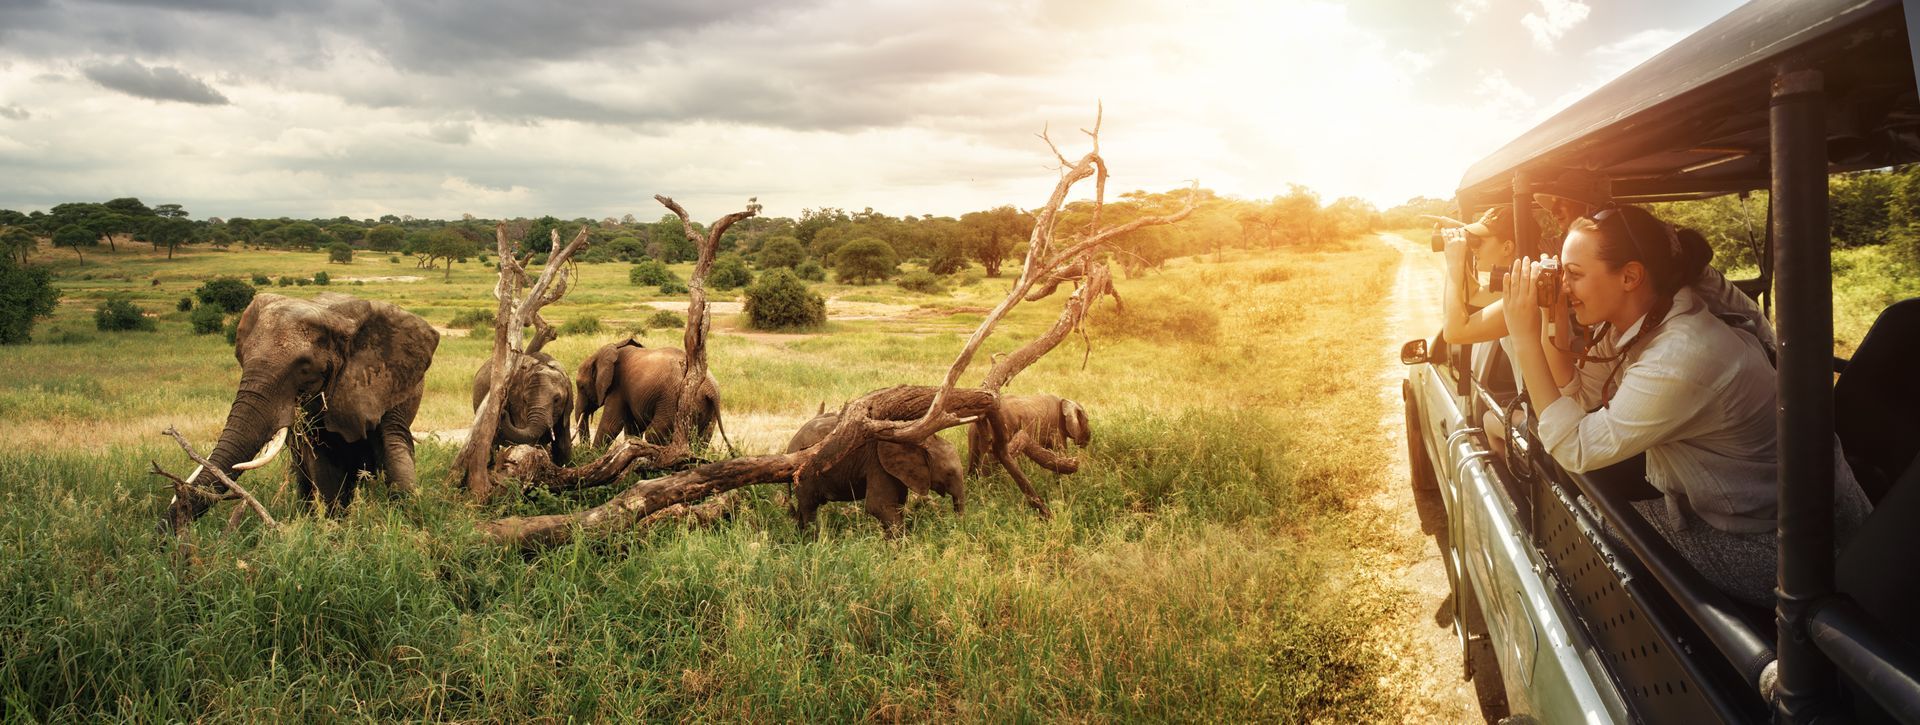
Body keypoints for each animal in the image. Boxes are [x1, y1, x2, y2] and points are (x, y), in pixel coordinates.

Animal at [161, 293, 439, 532]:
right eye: (242, 358)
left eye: (304, 368)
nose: (164, 541)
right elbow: (322, 464)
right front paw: (334, 529)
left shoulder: (389, 384)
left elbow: (395, 448)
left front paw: (408, 524)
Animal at [574, 339, 724, 449]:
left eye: (581, 386)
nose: (583, 450)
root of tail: (710, 387)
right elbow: (632, 429)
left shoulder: (617, 387)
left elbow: (610, 425)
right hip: (709, 411)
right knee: (702, 439)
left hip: (672, 400)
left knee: (654, 433)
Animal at [784, 410, 965, 536]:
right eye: (949, 473)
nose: (957, 526)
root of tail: (789, 447)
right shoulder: (878, 465)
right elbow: (877, 506)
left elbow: (897, 504)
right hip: (806, 476)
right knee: (809, 509)